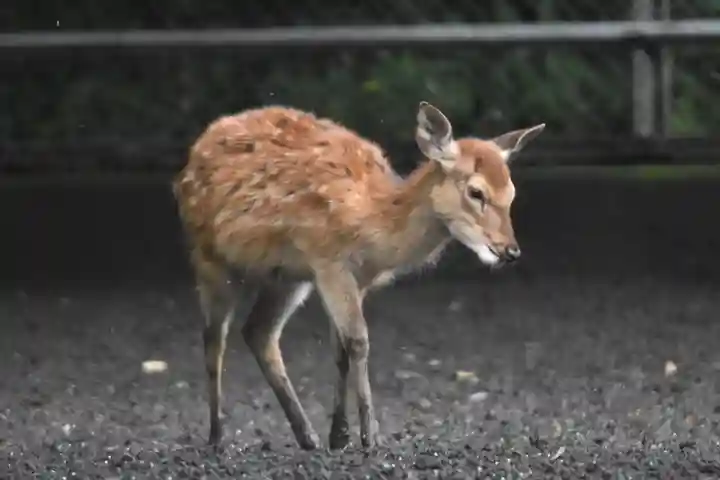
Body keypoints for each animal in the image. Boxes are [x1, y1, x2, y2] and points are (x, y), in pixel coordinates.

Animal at [172, 101, 545, 451]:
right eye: (476, 192)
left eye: (511, 193)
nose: (510, 251)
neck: (372, 222)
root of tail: (194, 152)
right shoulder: (328, 262)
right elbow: (359, 340)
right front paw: (370, 436)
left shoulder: (355, 278)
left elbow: (341, 348)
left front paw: (340, 435)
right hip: (208, 254)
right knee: (214, 337)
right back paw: (217, 436)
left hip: (286, 277)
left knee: (258, 332)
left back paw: (307, 435)